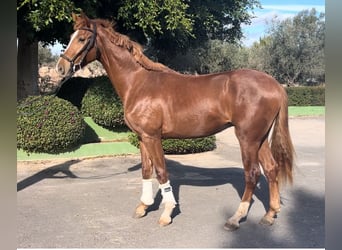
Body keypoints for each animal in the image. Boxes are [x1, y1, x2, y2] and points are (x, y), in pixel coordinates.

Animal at [55, 12, 294, 230]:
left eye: (82, 39)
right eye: (71, 36)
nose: (60, 68)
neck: (139, 83)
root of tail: (274, 84)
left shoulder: (153, 137)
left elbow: (161, 172)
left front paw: (166, 213)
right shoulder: (142, 138)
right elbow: (146, 170)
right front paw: (143, 206)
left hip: (247, 139)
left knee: (252, 174)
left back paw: (236, 218)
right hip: (259, 139)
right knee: (271, 169)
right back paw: (270, 214)